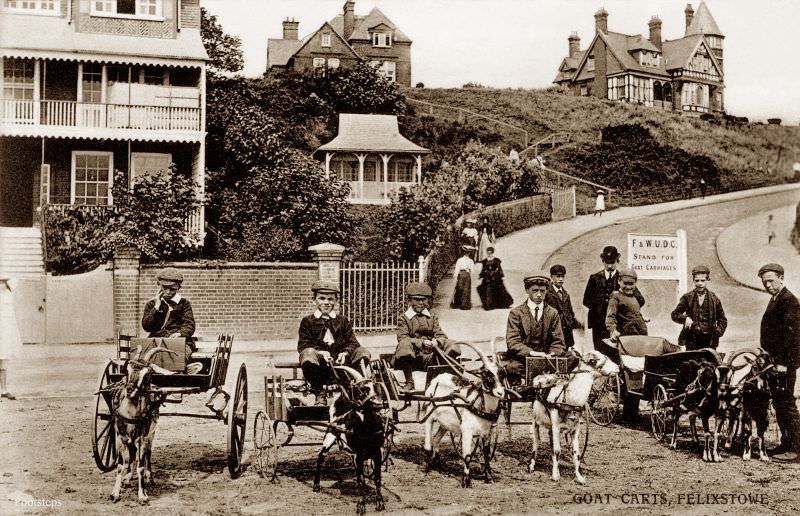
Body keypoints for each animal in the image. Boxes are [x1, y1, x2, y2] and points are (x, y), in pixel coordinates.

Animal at [108, 344, 176, 502]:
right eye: (127, 369)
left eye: (147, 374)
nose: (129, 390)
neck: (130, 414)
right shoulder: (121, 437)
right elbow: (120, 465)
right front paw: (115, 493)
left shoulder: (143, 438)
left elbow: (141, 465)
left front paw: (142, 495)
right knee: (133, 454)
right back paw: (128, 478)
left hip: (150, 434)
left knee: (147, 455)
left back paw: (149, 479)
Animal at [312, 364, 388, 512]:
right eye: (362, 389)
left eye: (376, 387)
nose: (378, 404)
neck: (367, 428)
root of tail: (340, 399)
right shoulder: (358, 455)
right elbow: (360, 480)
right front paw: (361, 505)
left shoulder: (377, 453)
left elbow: (377, 478)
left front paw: (380, 503)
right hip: (330, 434)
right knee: (321, 456)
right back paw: (316, 485)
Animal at [422, 340, 504, 490]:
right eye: (486, 374)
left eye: (502, 373)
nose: (500, 393)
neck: (478, 403)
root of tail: (437, 378)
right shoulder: (467, 431)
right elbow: (467, 456)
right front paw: (466, 482)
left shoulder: (487, 432)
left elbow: (486, 454)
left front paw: (489, 478)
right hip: (429, 416)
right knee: (428, 443)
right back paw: (426, 469)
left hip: (446, 424)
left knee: (436, 439)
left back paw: (437, 463)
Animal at [532, 348, 620, 486]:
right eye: (594, 360)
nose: (617, 368)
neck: (569, 398)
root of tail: (540, 378)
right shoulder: (556, 426)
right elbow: (557, 450)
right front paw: (555, 476)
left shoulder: (575, 428)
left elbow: (576, 453)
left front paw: (579, 477)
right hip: (535, 421)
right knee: (536, 441)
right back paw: (531, 465)